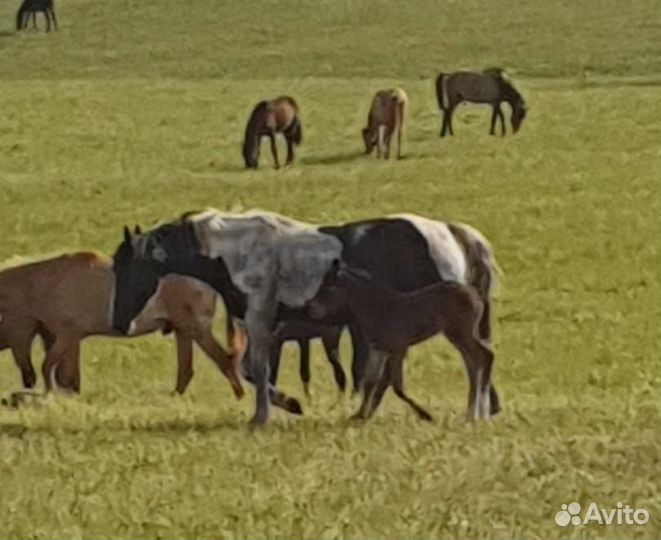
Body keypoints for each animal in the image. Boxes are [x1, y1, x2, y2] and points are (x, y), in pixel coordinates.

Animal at [0, 251, 244, 399]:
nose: (27, 381)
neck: (42, 283)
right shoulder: (67, 338)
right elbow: (67, 375)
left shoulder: (66, 335)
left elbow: (48, 366)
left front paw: (49, 395)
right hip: (183, 330)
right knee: (186, 370)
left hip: (196, 330)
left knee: (224, 361)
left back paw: (240, 396)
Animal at [310, 262, 496, 422]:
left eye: (327, 286)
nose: (310, 306)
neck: (377, 308)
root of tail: (475, 292)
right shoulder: (379, 350)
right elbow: (371, 381)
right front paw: (360, 415)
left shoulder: (398, 348)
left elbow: (396, 386)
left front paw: (426, 415)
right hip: (459, 335)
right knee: (474, 362)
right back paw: (474, 414)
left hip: (460, 333)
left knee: (484, 356)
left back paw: (478, 415)